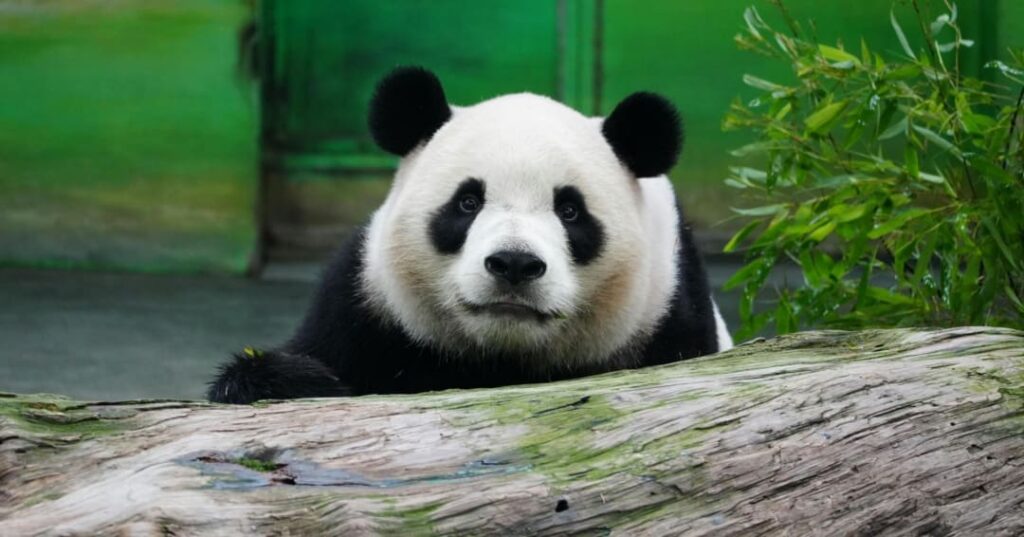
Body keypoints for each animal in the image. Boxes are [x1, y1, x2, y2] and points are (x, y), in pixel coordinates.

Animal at [208, 66, 732, 404]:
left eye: (570, 210)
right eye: (467, 202)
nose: (514, 264)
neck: (502, 359)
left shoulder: (670, 314)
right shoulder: (363, 308)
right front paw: (292, 382)